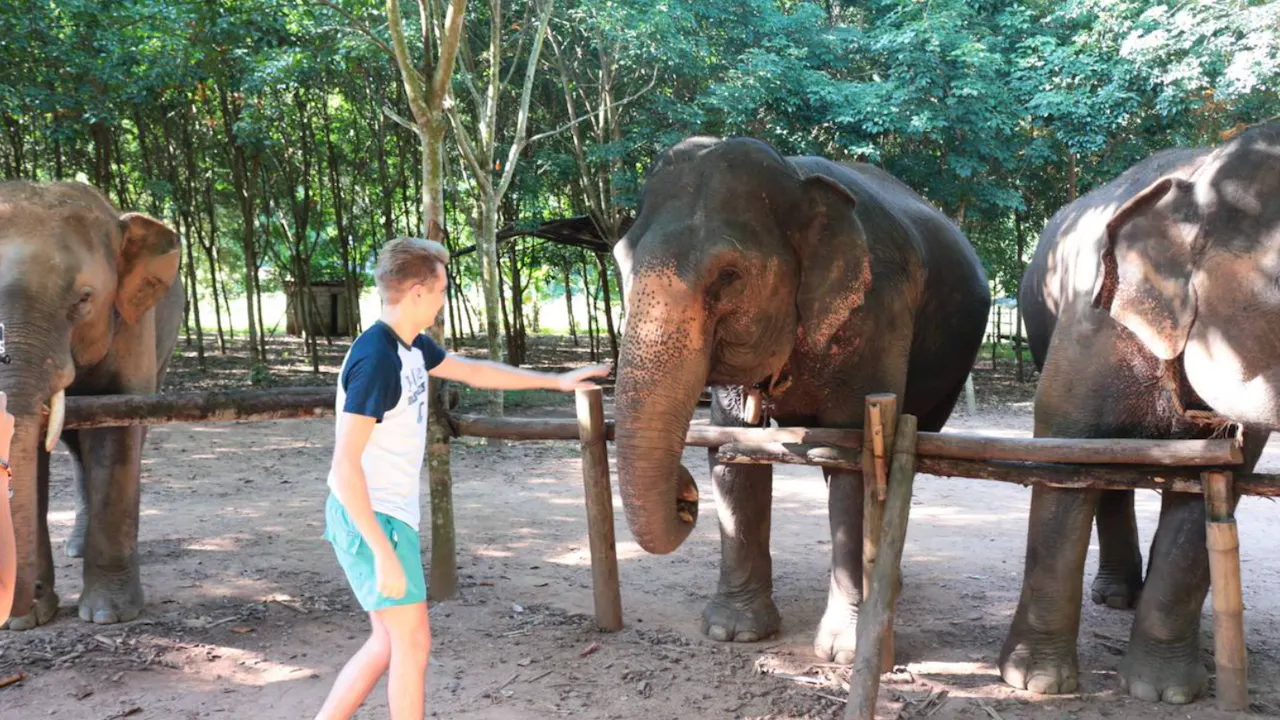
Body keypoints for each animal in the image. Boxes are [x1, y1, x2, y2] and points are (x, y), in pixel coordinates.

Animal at [0, 180, 184, 628]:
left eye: (84, 298)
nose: (27, 594)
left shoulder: (133, 324)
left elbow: (117, 431)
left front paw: (108, 615)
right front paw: (26, 621)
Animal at [610, 136, 991, 663]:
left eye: (728, 275)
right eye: (620, 262)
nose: (685, 499)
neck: (795, 178)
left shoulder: (878, 312)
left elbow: (854, 456)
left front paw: (845, 652)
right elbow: (732, 452)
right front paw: (734, 632)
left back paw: (889, 587)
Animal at [1003, 118, 1280, 703]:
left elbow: (1212, 492)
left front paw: (1163, 693)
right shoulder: (1089, 326)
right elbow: (1066, 466)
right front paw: (1035, 682)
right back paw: (1115, 597)